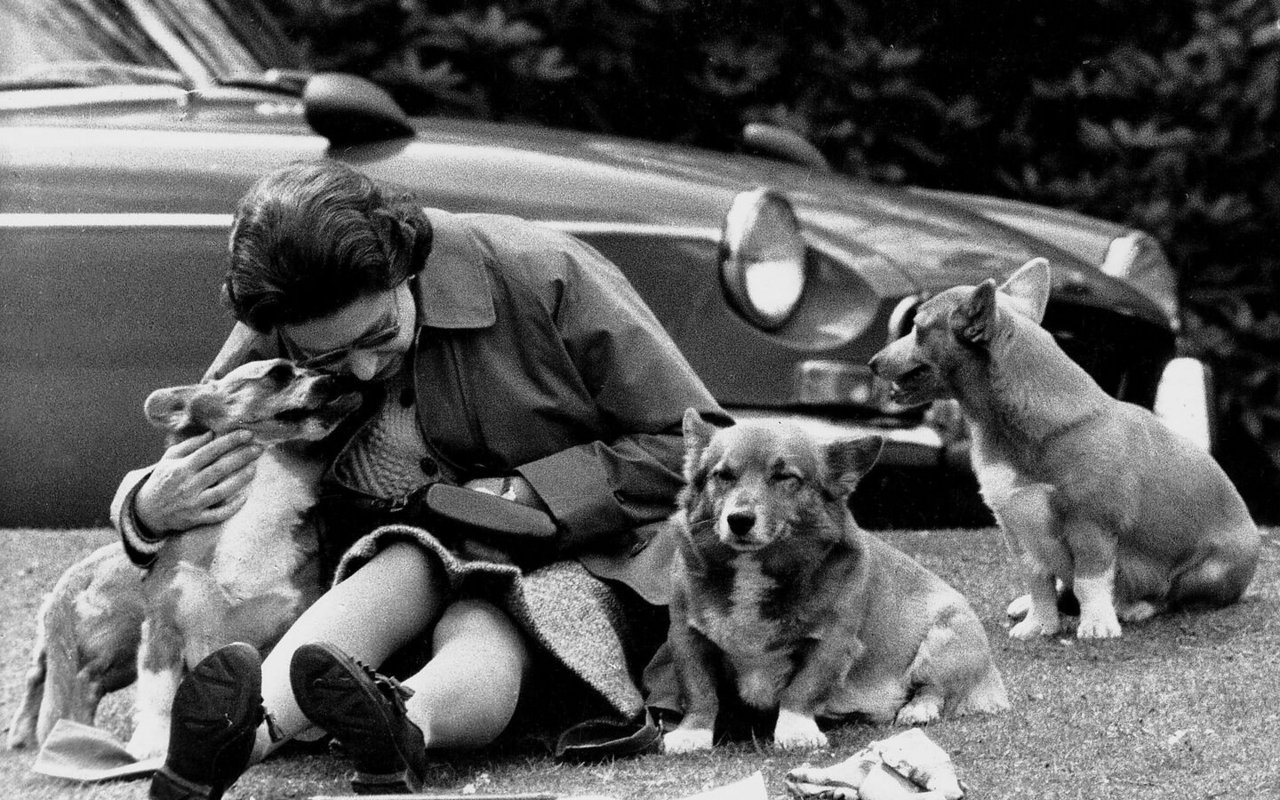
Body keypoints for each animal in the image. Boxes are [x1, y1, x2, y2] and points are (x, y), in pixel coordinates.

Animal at [7, 358, 363, 757]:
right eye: (279, 373)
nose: (343, 376)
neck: (260, 496)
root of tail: (77, 574)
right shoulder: (163, 627)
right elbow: (160, 696)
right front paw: (153, 744)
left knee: (59, 679)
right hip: (124, 635)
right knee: (74, 680)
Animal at [660, 409, 1008, 752]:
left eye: (785, 477)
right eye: (723, 475)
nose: (739, 520)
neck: (754, 569)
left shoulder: (832, 642)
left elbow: (802, 690)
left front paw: (796, 732)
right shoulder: (687, 637)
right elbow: (700, 691)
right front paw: (692, 733)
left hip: (946, 638)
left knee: (934, 690)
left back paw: (917, 710)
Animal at [870, 258, 1259, 640]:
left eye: (917, 328)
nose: (873, 362)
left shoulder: (1090, 528)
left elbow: (1089, 583)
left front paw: (1097, 625)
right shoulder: (1018, 531)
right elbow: (1038, 581)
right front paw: (1039, 624)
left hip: (1207, 571)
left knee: (1171, 596)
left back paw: (1135, 607)